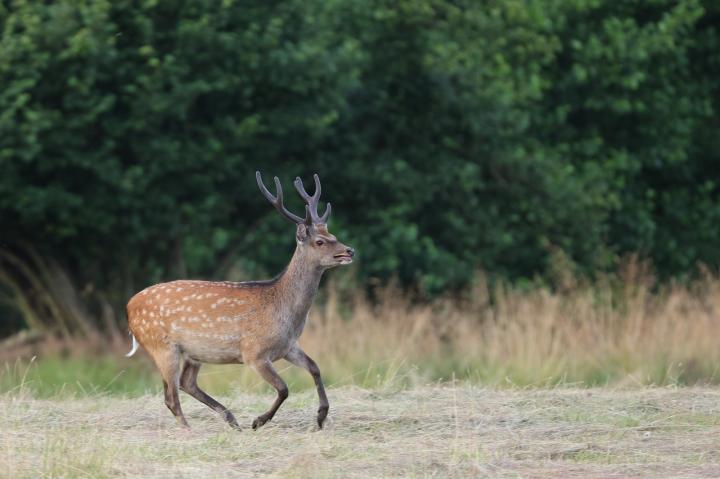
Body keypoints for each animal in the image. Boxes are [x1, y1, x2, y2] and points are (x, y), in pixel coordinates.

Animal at [127, 172, 358, 432]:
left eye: (333, 236)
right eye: (320, 241)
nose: (349, 251)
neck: (285, 313)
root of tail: (128, 308)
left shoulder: (288, 346)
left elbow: (315, 368)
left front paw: (320, 416)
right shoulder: (253, 352)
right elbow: (284, 388)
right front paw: (259, 421)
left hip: (194, 352)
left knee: (187, 383)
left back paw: (231, 419)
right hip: (161, 346)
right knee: (171, 396)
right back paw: (190, 430)